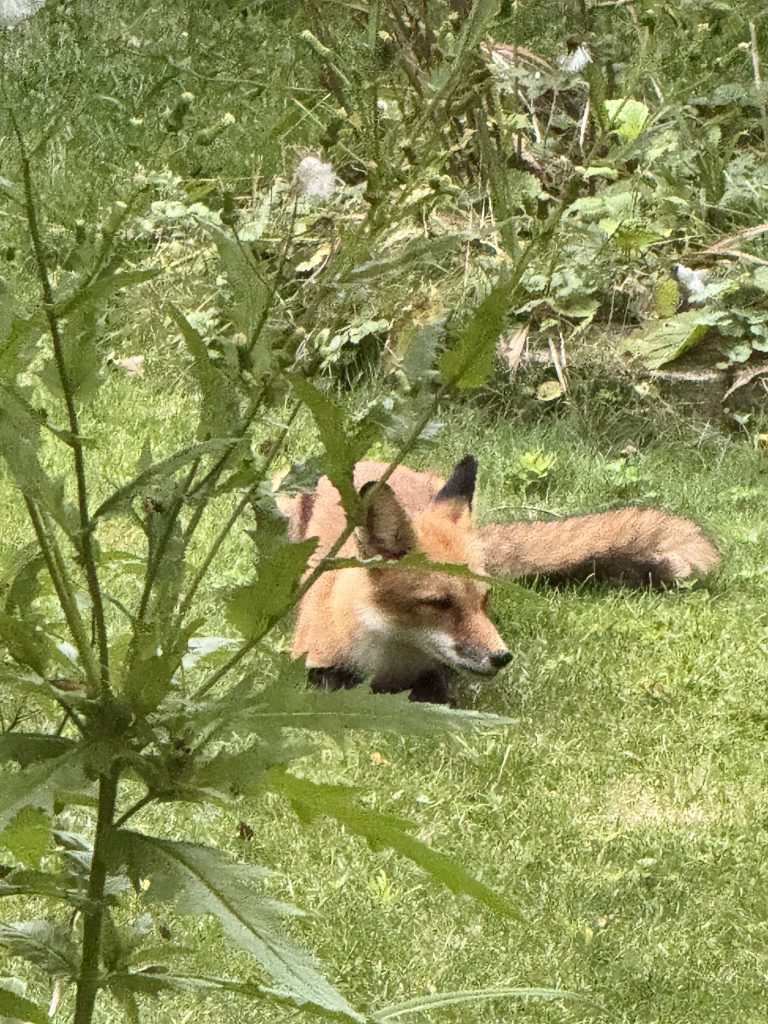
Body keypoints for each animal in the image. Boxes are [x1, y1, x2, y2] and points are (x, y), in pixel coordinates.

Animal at [278, 455, 719, 704]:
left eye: (484, 599)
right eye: (439, 604)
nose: (502, 657)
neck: (390, 655)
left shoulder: (437, 672)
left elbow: (435, 693)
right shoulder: (314, 666)